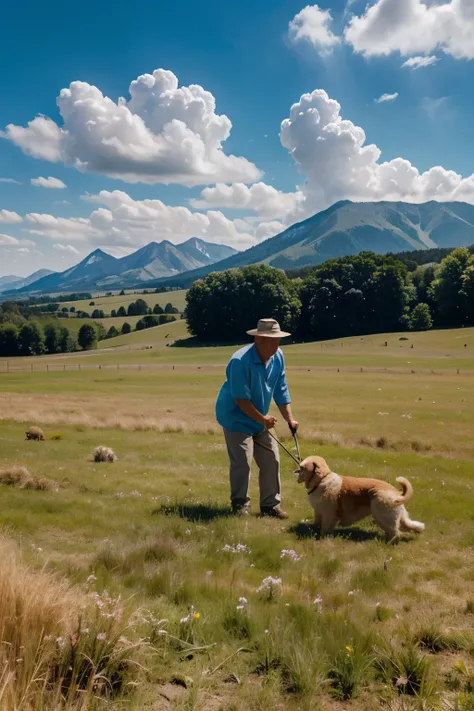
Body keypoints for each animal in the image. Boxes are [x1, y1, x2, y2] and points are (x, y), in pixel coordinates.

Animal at [296, 456, 426, 540]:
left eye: (302, 468)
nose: (295, 471)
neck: (322, 480)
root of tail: (396, 492)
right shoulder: (318, 512)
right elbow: (317, 523)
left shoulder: (329, 515)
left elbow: (325, 529)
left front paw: (321, 538)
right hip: (399, 518)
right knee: (413, 526)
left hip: (382, 516)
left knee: (396, 533)